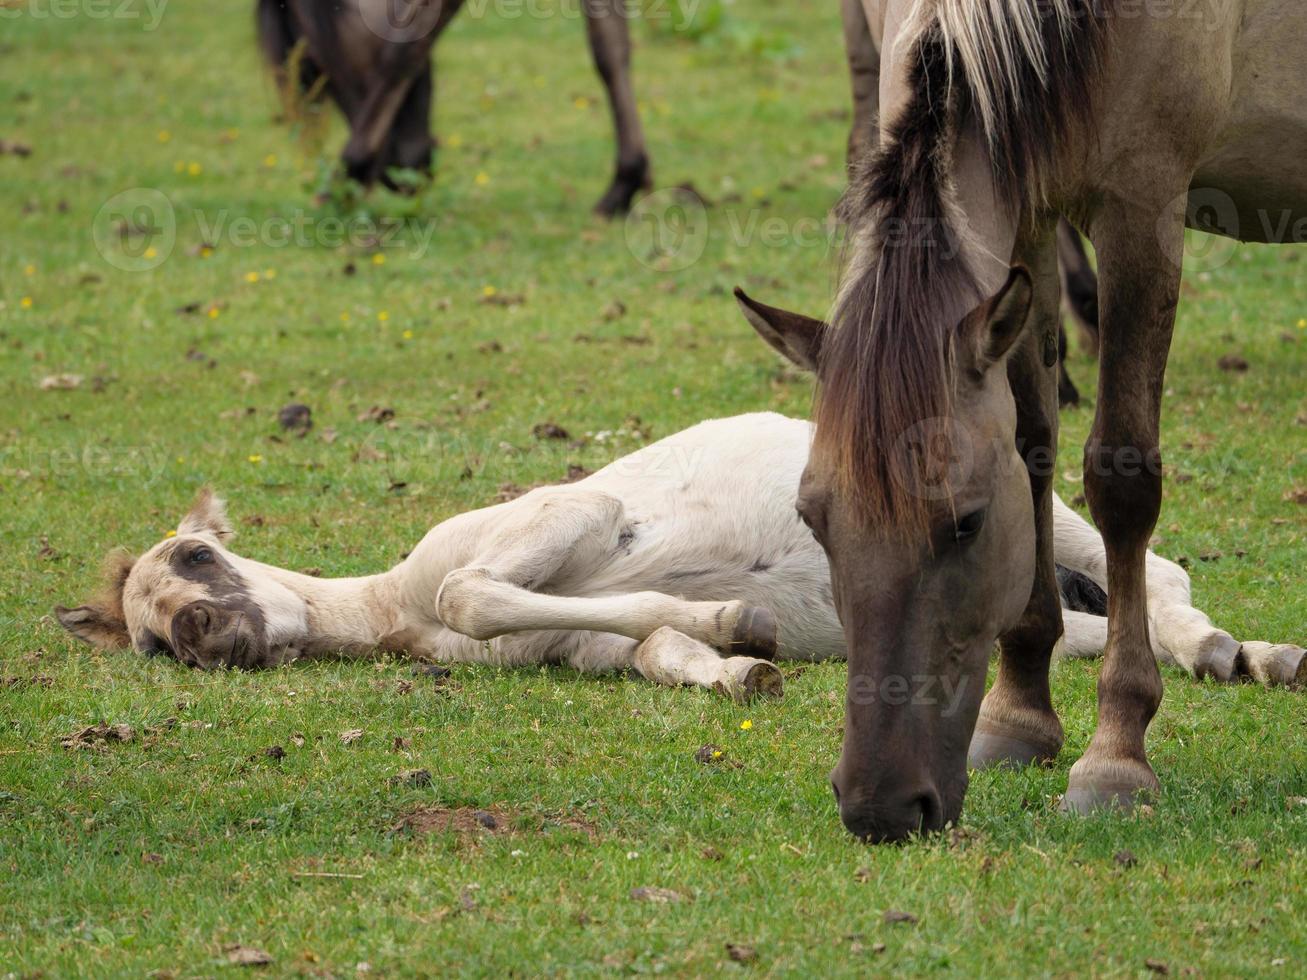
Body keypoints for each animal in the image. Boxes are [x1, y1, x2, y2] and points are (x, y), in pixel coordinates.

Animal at [254, 0, 648, 214]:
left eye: (312, 66)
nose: (400, 178)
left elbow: (404, 51)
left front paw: (345, 179)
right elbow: (610, 50)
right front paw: (626, 182)